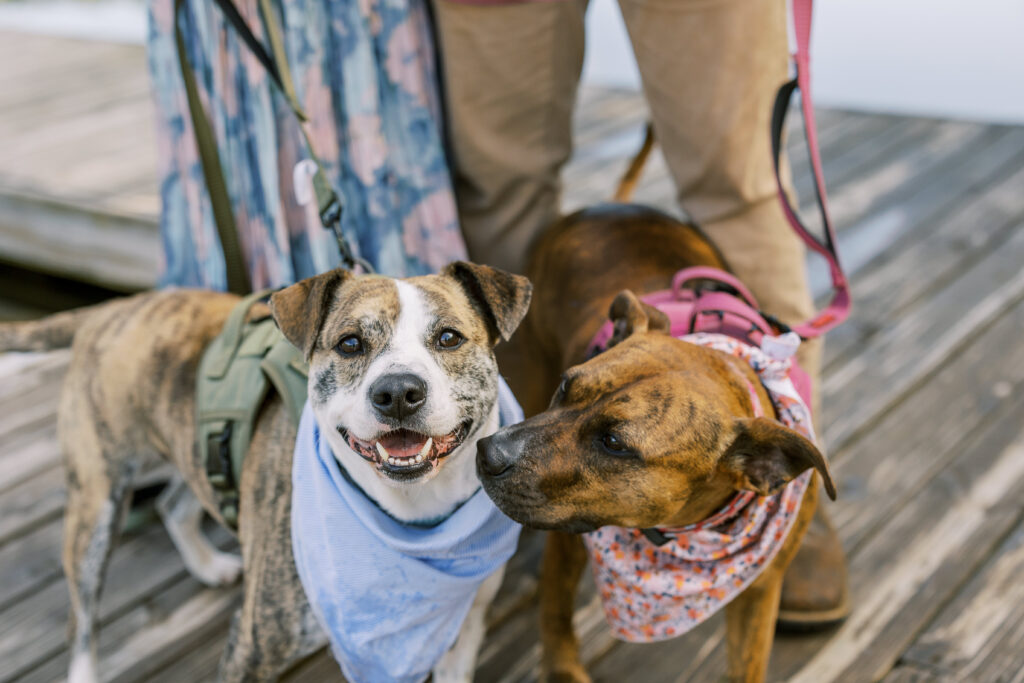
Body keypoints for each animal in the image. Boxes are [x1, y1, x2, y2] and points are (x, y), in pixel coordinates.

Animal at [0, 259, 528, 679]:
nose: (397, 392)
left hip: (198, 448)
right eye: (350, 343)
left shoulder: (464, 630)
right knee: (81, 618)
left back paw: (208, 565)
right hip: (95, 504)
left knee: (173, 504)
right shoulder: (251, 650)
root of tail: (110, 309)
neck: (413, 517)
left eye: (448, 338)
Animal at [477, 204, 831, 683]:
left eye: (613, 442)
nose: (489, 454)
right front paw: (563, 669)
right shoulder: (567, 540)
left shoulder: (760, 594)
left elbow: (748, 665)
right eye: (566, 386)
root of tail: (604, 207)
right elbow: (555, 611)